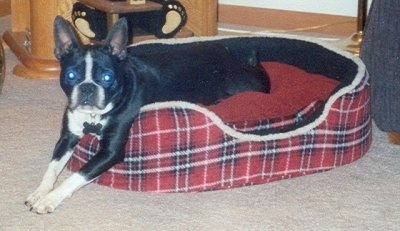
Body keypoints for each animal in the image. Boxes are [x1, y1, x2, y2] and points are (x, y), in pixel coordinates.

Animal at [24, 16, 268, 214]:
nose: (87, 88)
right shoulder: (67, 137)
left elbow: (77, 175)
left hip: (242, 84)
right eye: (71, 75)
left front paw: (50, 199)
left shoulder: (110, 152)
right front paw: (39, 192)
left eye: (107, 77)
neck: (93, 116)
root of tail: (227, 53)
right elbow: (52, 167)